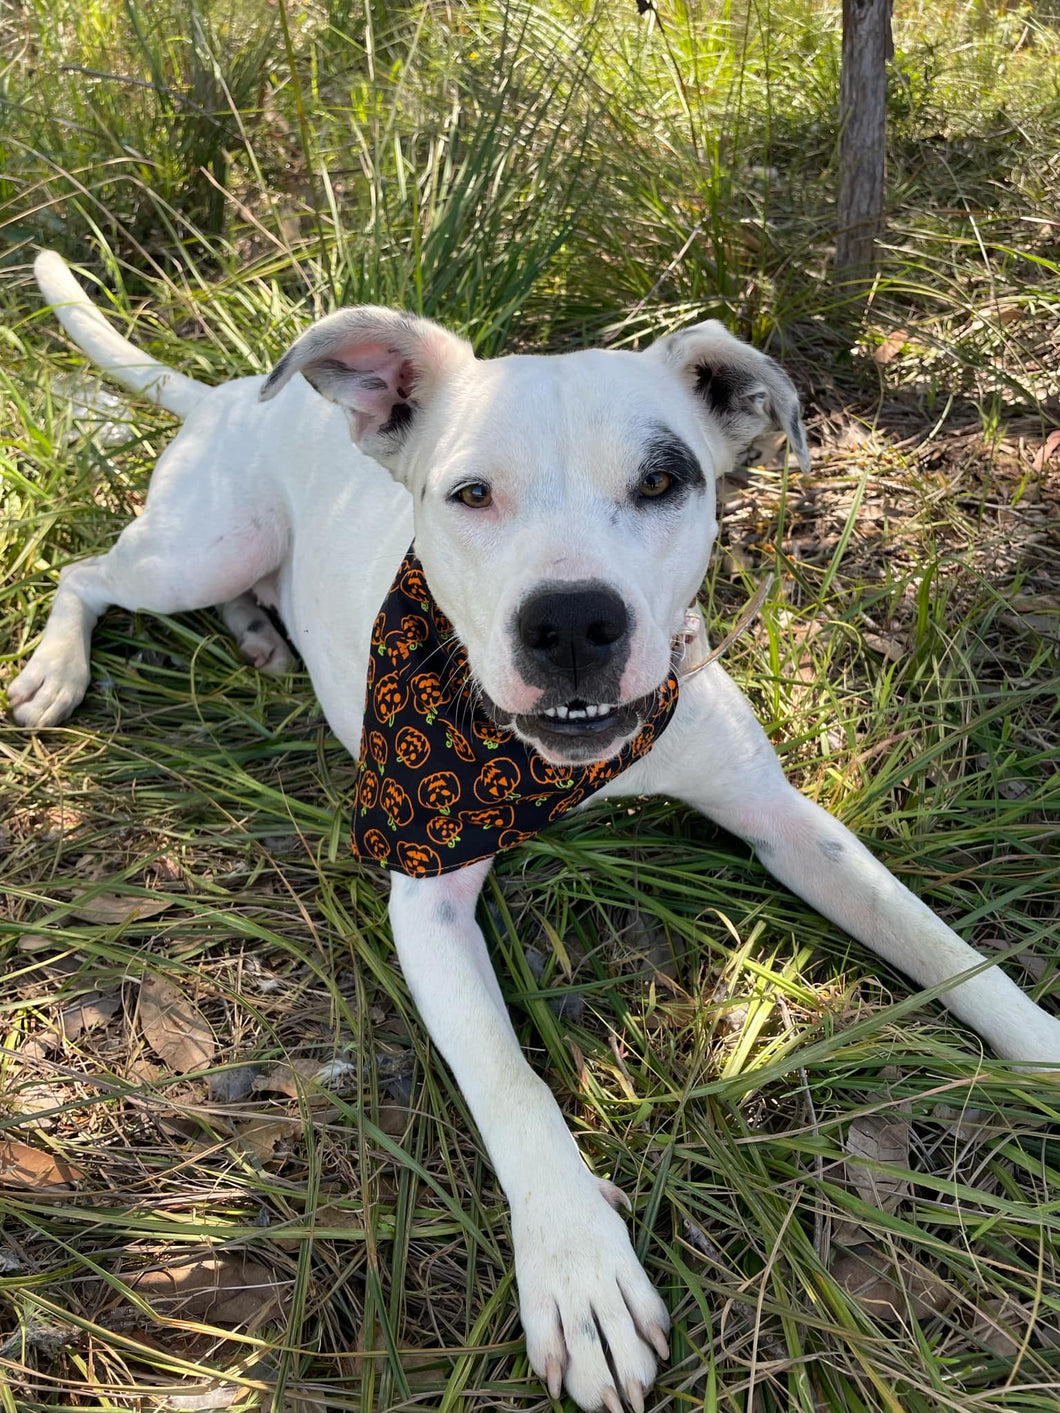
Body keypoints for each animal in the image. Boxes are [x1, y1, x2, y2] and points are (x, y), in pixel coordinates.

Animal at [10, 254, 1060, 1413]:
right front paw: (579, 1270)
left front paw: (1044, 1051)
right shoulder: (426, 892)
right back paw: (59, 668)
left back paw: (257, 633)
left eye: (663, 481)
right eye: (470, 494)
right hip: (201, 546)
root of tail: (231, 395)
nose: (570, 624)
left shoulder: (788, 820)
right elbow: (509, 1082)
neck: (559, 770)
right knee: (86, 573)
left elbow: (944, 949)